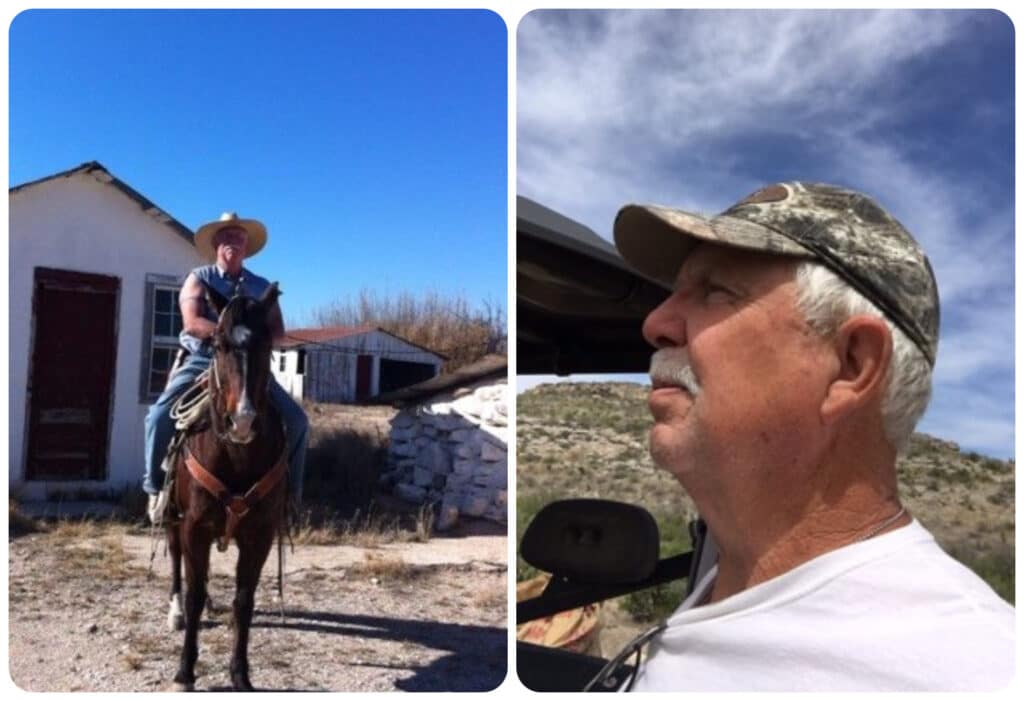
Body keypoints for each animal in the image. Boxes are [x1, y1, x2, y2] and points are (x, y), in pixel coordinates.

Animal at [166, 282, 288, 691]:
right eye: (218, 344)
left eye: (268, 346)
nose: (243, 421)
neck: (236, 456)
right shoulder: (195, 527)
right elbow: (195, 595)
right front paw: (185, 672)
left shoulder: (260, 534)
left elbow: (244, 600)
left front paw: (240, 674)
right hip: (173, 518)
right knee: (177, 562)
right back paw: (174, 611)